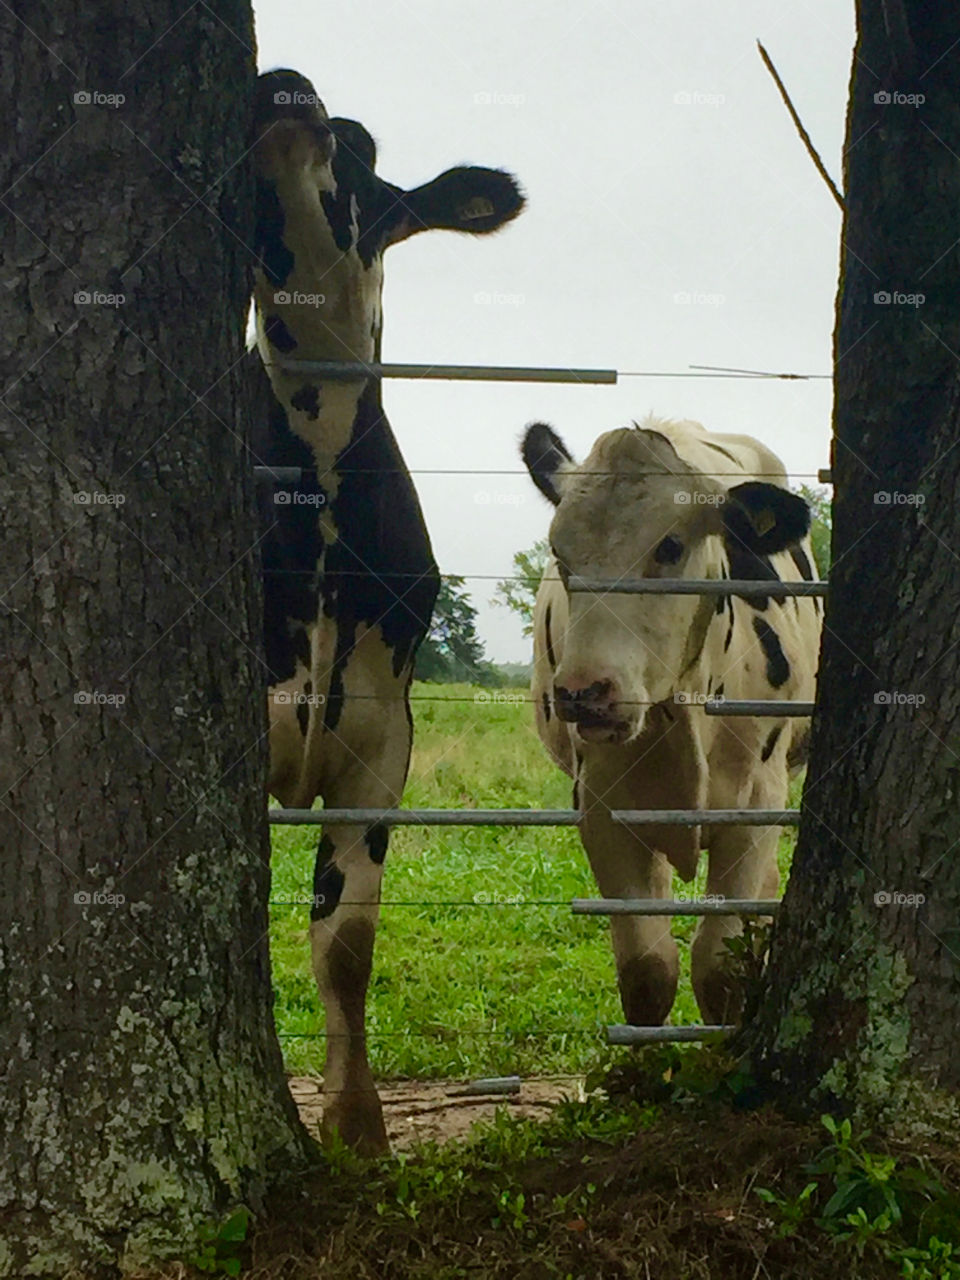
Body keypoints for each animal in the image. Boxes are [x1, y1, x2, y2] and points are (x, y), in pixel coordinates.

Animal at [521, 416, 821, 1030]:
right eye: (562, 555)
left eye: (670, 546)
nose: (583, 692)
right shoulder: (603, 809)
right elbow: (647, 967)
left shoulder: (756, 805)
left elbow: (720, 967)